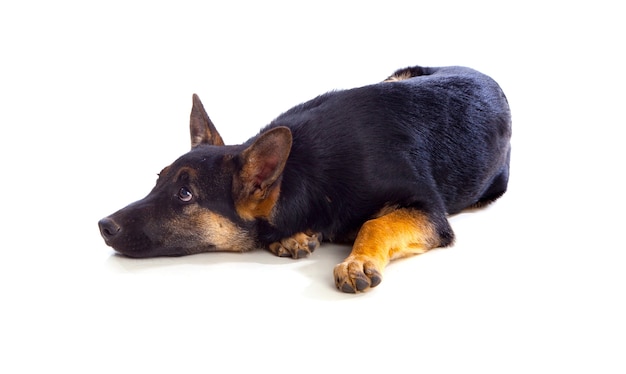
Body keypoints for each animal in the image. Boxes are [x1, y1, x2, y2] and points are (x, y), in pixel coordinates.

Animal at [96, 65, 508, 292]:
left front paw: (357, 260)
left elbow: (375, 224)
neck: (300, 175)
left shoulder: (427, 211)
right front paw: (294, 236)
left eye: (185, 194)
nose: (103, 225)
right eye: (158, 179)